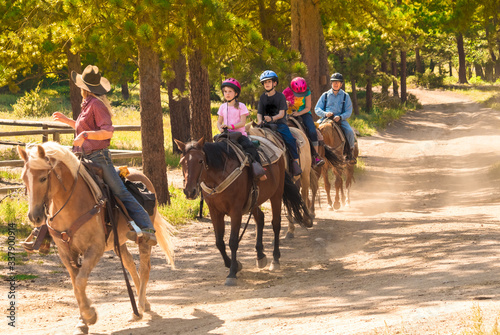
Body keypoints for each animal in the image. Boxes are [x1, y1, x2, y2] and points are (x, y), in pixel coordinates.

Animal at [17, 142, 175, 335]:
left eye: (42, 178)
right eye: (24, 178)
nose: (35, 217)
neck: (72, 204)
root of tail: (142, 175)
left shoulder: (95, 248)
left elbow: (80, 281)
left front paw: (90, 315)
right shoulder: (65, 253)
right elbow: (76, 286)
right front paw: (82, 322)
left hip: (143, 239)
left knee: (144, 267)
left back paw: (139, 307)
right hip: (117, 241)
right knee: (129, 264)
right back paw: (143, 304)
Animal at [174, 138, 310, 288]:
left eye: (200, 161)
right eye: (182, 162)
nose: (189, 191)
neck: (219, 176)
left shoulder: (236, 211)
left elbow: (233, 241)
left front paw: (232, 273)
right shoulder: (215, 211)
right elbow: (219, 242)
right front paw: (233, 264)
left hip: (276, 194)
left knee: (276, 224)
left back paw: (275, 259)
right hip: (254, 201)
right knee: (260, 219)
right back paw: (260, 255)